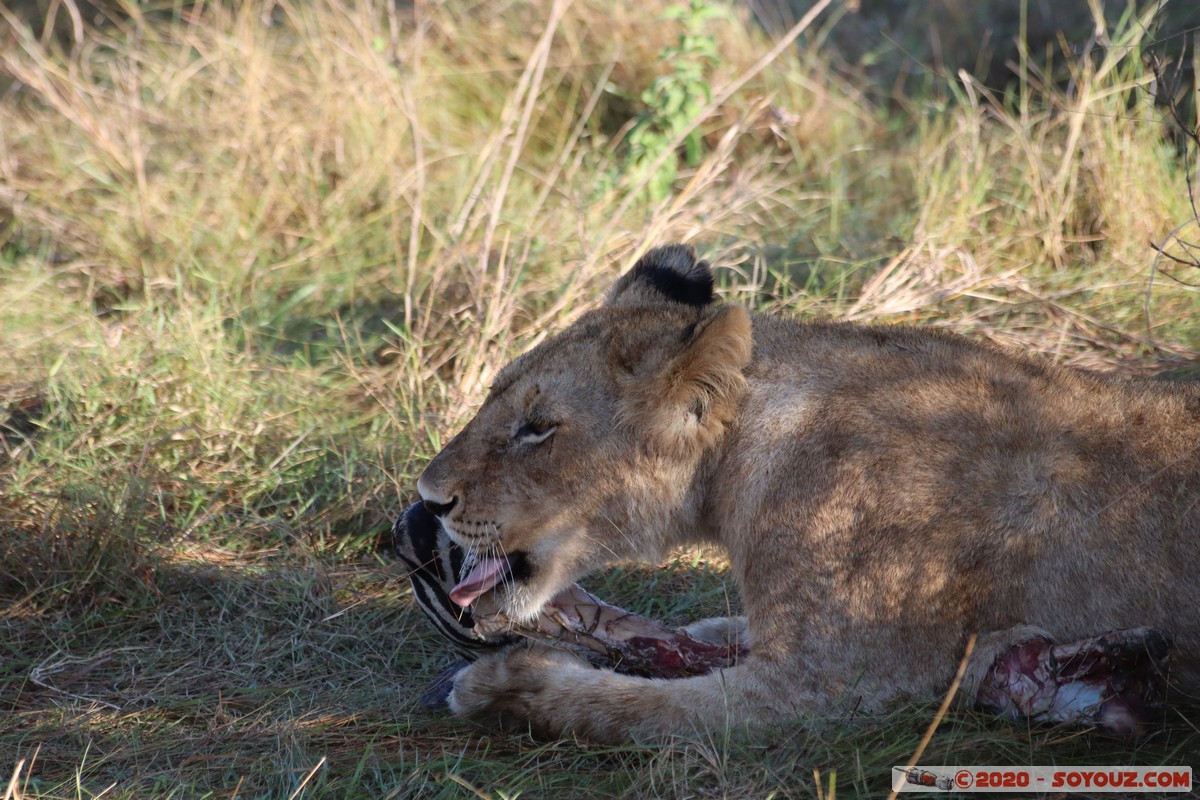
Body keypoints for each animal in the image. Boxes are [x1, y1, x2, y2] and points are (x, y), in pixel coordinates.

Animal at [415, 245, 1200, 743]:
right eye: (493, 394)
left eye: (538, 428)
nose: (427, 500)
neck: (740, 467)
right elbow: (704, 633)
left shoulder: (827, 684)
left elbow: (630, 712)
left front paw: (495, 685)